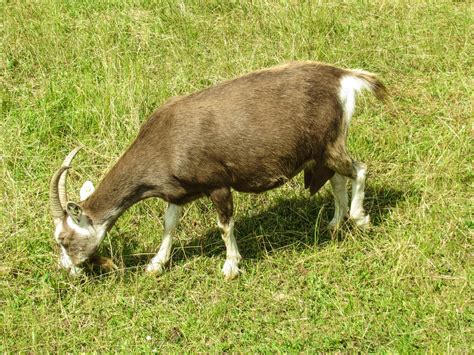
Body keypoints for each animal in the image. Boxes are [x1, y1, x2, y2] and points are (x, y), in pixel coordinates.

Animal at [49, 60, 386, 278]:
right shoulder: (178, 192)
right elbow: (169, 224)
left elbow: (225, 226)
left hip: (330, 145)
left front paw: (231, 267)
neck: (164, 139)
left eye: (63, 239)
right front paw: (156, 264)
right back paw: (335, 223)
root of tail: (344, 77)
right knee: (338, 180)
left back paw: (359, 218)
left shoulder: (217, 184)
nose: (67, 270)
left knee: (359, 169)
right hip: (322, 152)